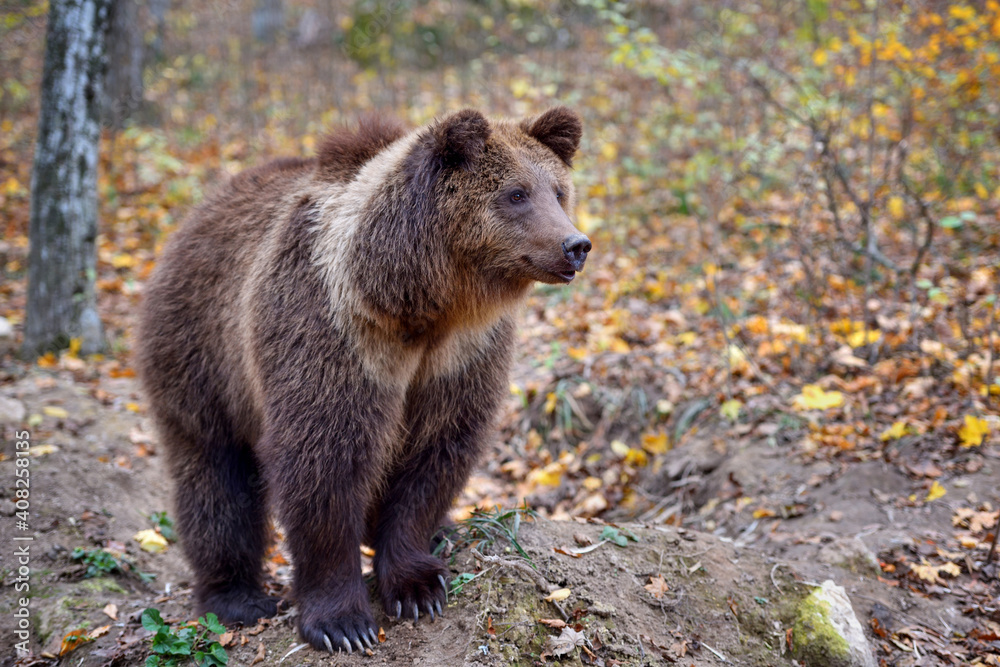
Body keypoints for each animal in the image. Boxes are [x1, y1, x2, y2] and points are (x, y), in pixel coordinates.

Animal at [136, 107, 590, 653]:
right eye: (517, 193)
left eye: (558, 191)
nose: (575, 245)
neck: (417, 304)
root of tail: (196, 212)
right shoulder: (333, 333)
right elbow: (324, 461)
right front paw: (342, 622)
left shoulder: (461, 355)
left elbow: (436, 454)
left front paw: (417, 585)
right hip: (199, 353)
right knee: (213, 473)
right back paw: (235, 596)